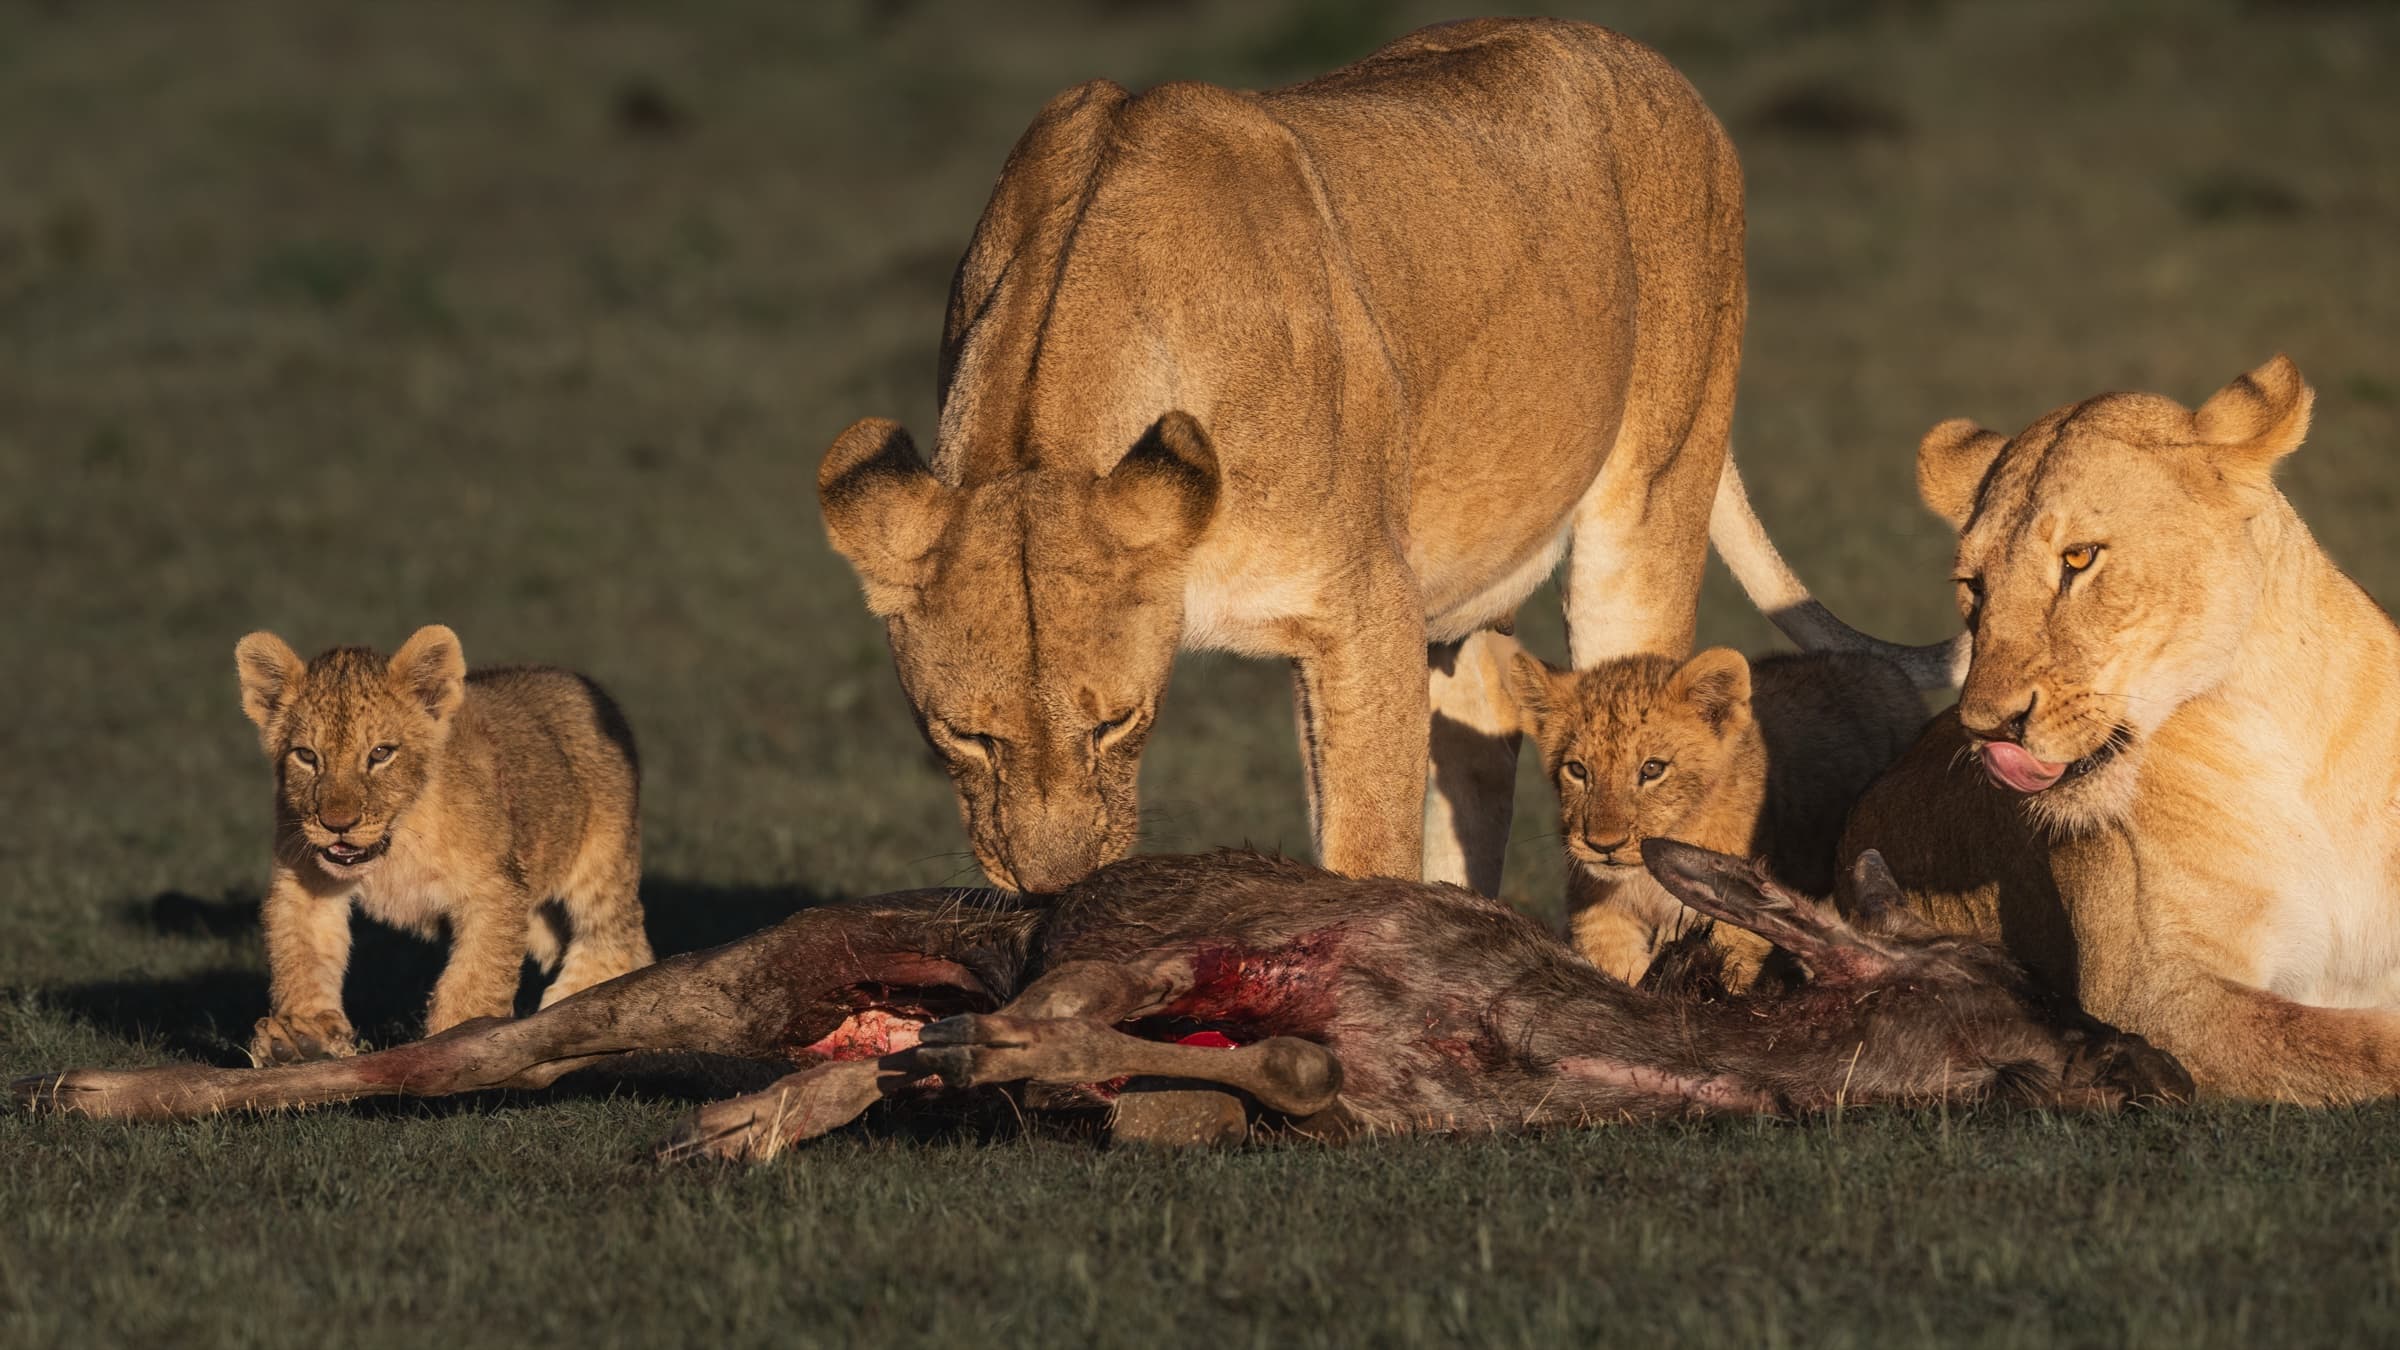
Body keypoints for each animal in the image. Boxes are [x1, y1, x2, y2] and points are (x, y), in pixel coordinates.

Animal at [233, 625, 651, 1063]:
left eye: (380, 753)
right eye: (307, 756)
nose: (338, 825)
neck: (394, 849)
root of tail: (584, 684)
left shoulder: (494, 889)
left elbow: (474, 977)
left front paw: (461, 1043)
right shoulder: (305, 883)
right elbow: (301, 955)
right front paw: (303, 1037)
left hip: (603, 862)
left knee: (615, 937)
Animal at [817, 18, 1956, 897]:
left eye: (1118, 724)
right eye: (963, 736)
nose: (1055, 889)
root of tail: (1642, 58)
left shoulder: (1360, 603)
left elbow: (1364, 850)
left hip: (1651, 494)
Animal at [1510, 645, 1924, 985]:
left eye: (1652, 769)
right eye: (1578, 770)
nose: (1603, 846)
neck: (1643, 877)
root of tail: (1881, 663)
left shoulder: (1734, 915)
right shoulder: (1600, 910)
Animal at [1841, 354, 2400, 1103]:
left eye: (2079, 559)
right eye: (1975, 586)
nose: (1987, 728)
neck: (2277, 725)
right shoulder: (2151, 998)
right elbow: (2359, 1043)